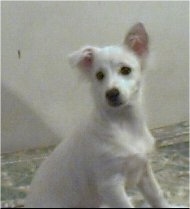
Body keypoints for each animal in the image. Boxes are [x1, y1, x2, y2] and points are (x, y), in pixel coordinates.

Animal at [24, 22, 169, 207]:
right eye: (99, 75)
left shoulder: (143, 171)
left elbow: (157, 196)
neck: (125, 124)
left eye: (125, 70)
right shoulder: (110, 184)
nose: (111, 94)